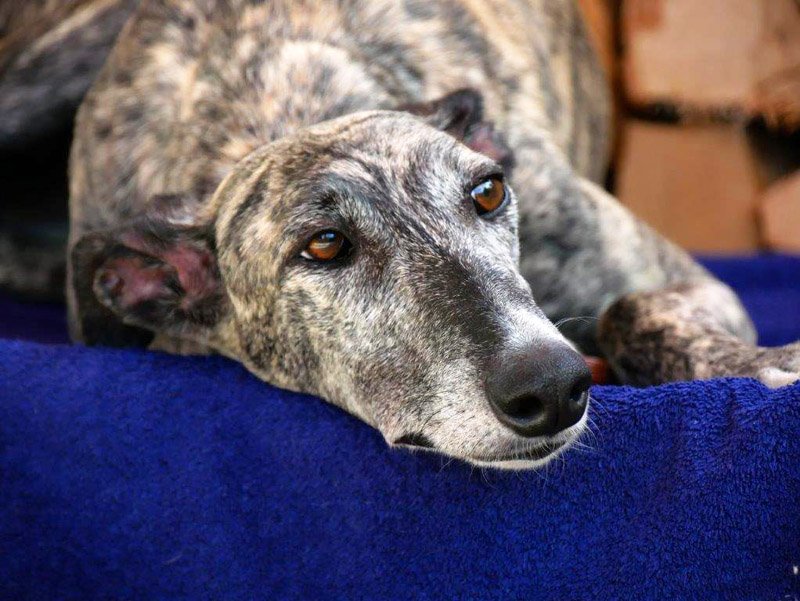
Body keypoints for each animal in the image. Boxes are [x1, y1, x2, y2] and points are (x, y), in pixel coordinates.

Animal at [62, 0, 799, 469]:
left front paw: (767, 364)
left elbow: (633, 307)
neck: (278, 91)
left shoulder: (683, 278)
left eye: (489, 190)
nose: (553, 385)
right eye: (324, 244)